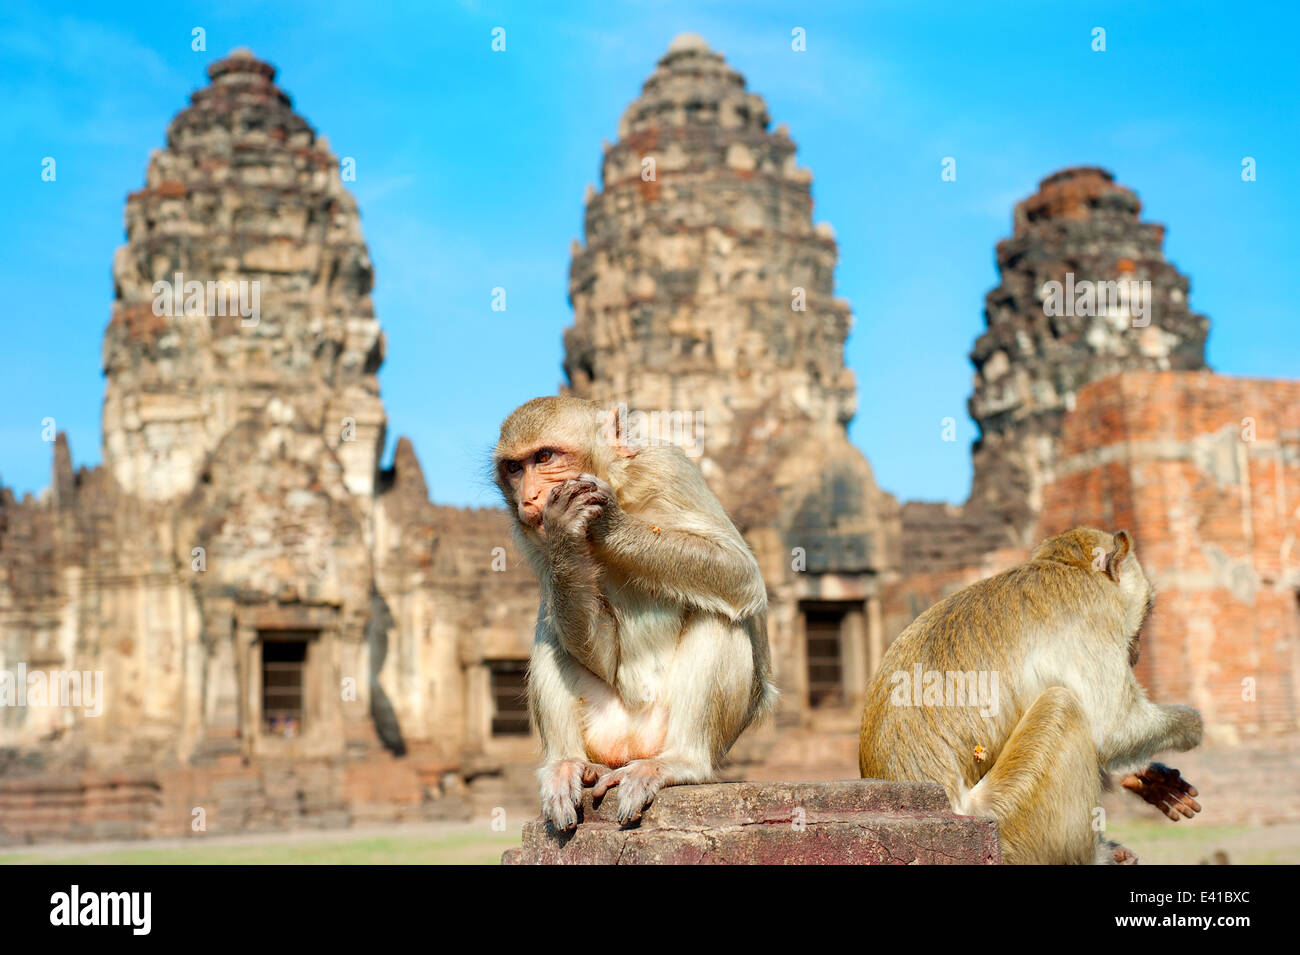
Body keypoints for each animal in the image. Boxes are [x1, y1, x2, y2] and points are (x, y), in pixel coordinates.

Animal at [491, 394, 774, 831]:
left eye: (544, 456)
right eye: (514, 468)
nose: (530, 498)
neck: (622, 487)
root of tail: (632, 747)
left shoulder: (667, 467)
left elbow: (739, 573)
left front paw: (607, 524)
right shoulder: (531, 536)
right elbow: (602, 655)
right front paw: (567, 536)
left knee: (720, 618)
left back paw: (680, 762)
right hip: (604, 727)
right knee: (550, 632)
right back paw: (568, 765)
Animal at [857, 530, 1201, 867]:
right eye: (1147, 608)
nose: (1138, 650)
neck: (1067, 567)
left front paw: (1142, 776)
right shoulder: (1096, 615)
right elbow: (1112, 728)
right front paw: (1192, 726)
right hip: (1009, 819)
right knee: (1063, 705)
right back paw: (1097, 856)